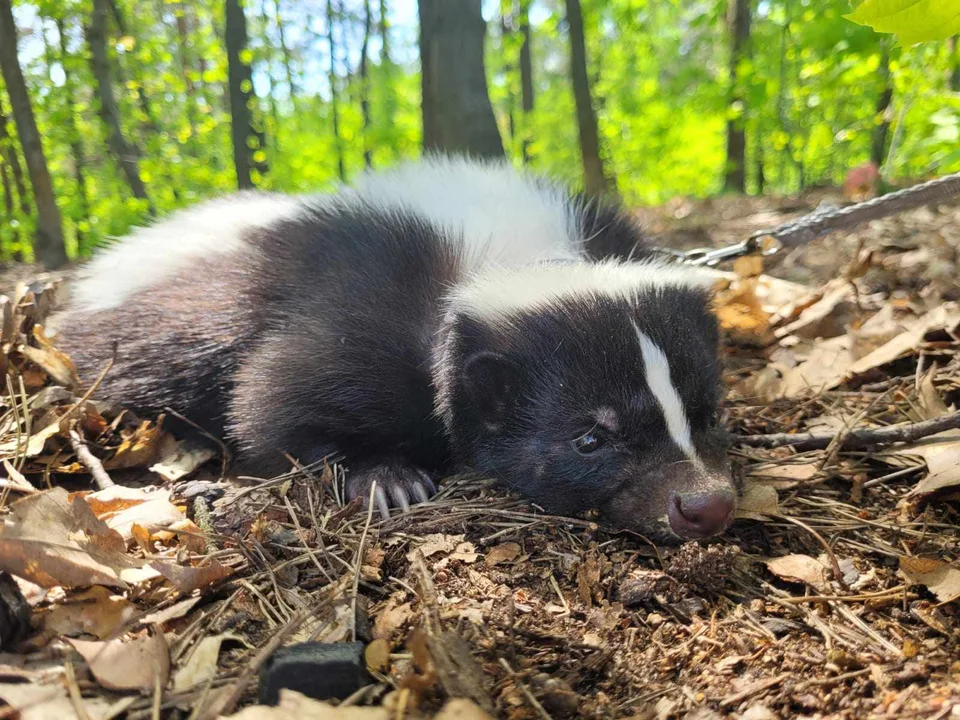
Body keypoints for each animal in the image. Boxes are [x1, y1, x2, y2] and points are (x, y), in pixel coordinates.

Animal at [52, 156, 740, 540]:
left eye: (706, 414)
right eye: (590, 438)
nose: (704, 504)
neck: (517, 253)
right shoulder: (362, 312)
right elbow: (274, 398)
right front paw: (387, 477)